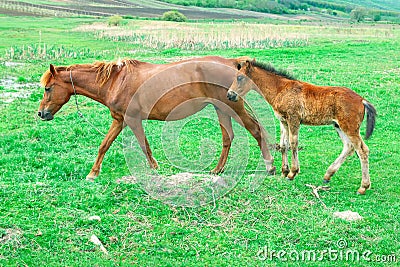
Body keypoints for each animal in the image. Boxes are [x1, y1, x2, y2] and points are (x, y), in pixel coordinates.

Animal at [37, 56, 276, 182]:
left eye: (48, 88)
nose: (41, 113)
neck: (116, 81)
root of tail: (232, 62)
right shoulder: (119, 120)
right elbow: (104, 145)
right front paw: (93, 173)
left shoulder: (132, 119)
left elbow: (144, 145)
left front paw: (154, 169)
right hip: (221, 108)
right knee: (228, 138)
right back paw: (217, 170)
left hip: (232, 107)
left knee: (255, 130)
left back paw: (269, 167)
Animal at [227, 59, 376, 195]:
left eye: (240, 77)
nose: (230, 95)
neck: (280, 89)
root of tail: (362, 100)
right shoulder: (283, 121)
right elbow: (283, 145)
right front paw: (284, 171)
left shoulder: (294, 119)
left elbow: (293, 143)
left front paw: (292, 173)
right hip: (339, 126)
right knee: (349, 147)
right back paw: (328, 175)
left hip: (349, 128)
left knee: (362, 150)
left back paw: (363, 187)